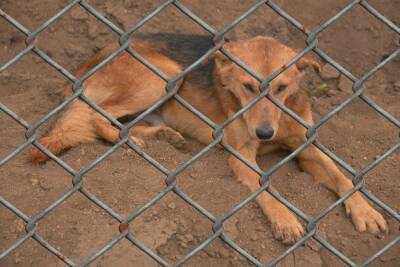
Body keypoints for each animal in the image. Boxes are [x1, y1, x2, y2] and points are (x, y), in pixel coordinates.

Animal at [31, 34, 388, 245]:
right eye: (247, 86)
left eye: (282, 88)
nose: (264, 133)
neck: (279, 118)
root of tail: (88, 63)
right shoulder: (241, 155)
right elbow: (266, 189)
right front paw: (285, 219)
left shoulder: (305, 147)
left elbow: (343, 178)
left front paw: (366, 211)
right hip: (165, 75)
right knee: (97, 115)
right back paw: (132, 142)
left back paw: (163, 135)